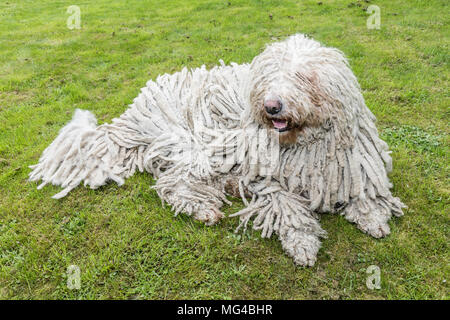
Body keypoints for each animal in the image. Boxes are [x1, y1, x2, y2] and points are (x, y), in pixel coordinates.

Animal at [29, 33, 406, 266]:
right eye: (269, 78)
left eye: (303, 77)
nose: (271, 106)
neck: (304, 143)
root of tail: (134, 113)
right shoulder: (267, 179)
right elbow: (287, 208)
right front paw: (303, 244)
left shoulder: (353, 163)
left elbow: (365, 192)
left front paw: (373, 217)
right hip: (195, 146)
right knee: (174, 183)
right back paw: (203, 209)